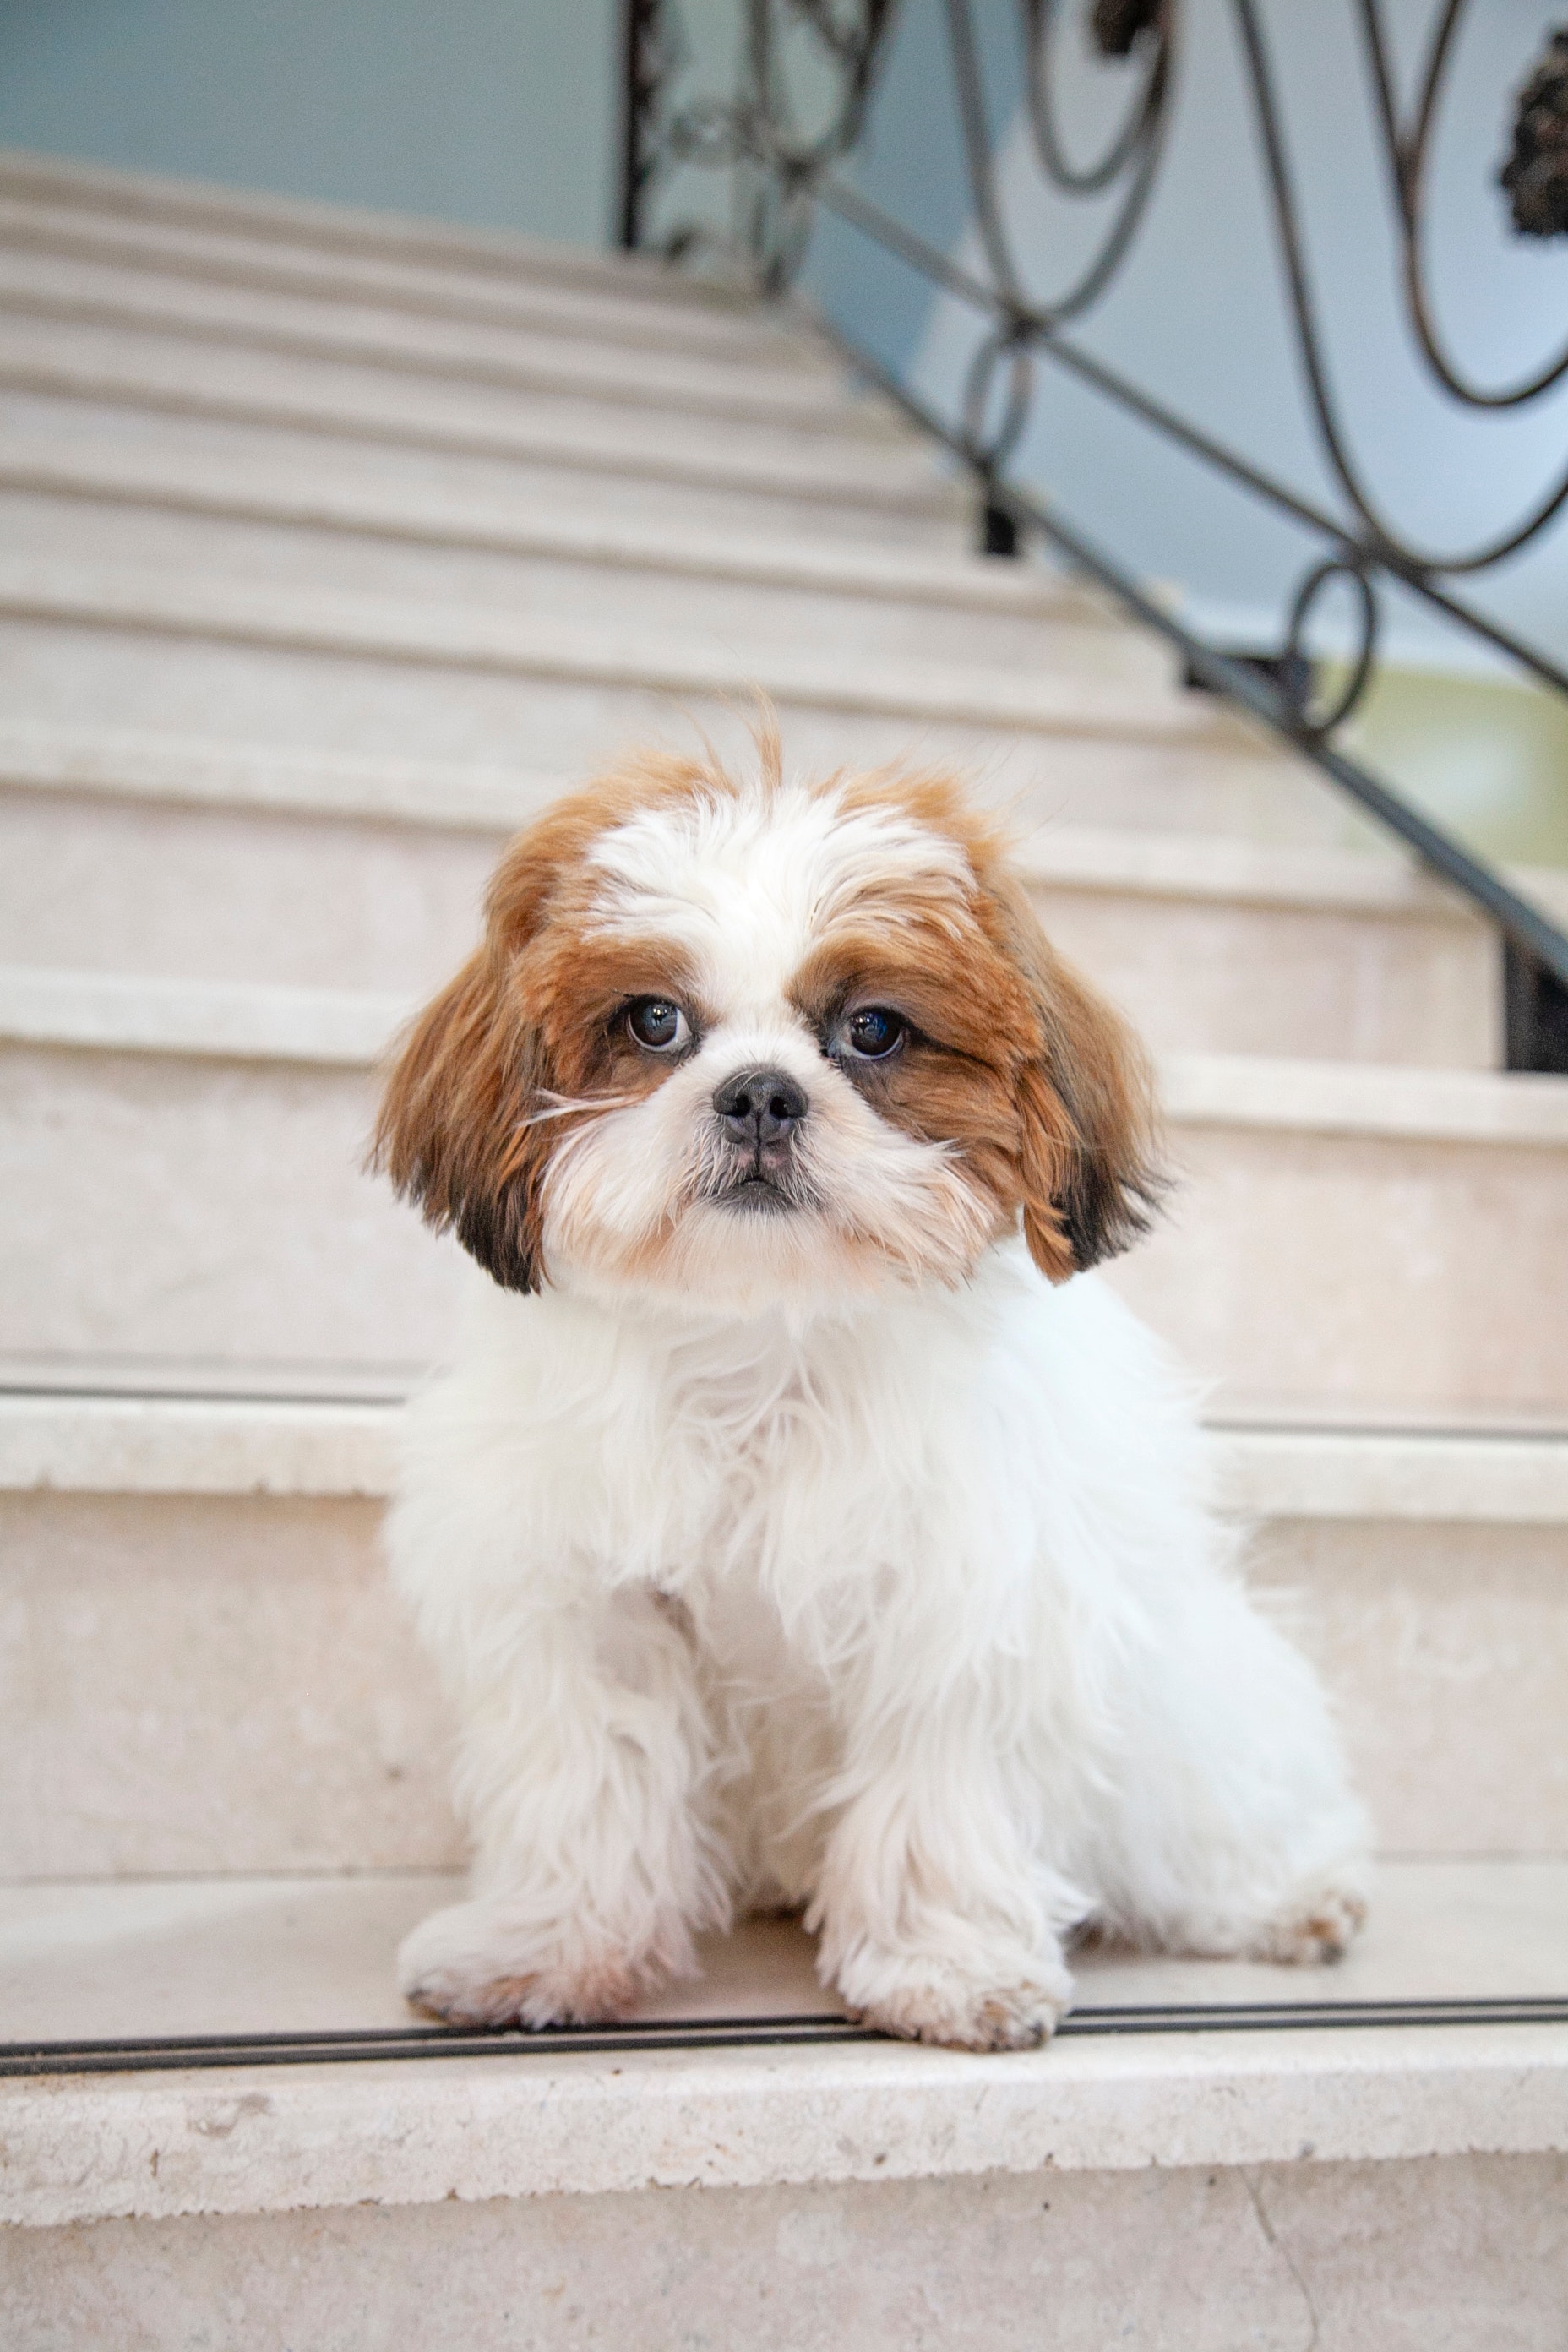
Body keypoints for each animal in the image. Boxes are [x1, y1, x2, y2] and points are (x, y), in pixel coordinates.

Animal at [373, 733, 1363, 2060]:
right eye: (653, 1021)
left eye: (875, 1031)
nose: (758, 1092)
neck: (765, 1346)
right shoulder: (578, 1601)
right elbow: (591, 1773)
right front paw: (549, 1943)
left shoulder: (967, 1593)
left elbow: (937, 1791)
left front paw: (942, 1966)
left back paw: (1280, 1899)